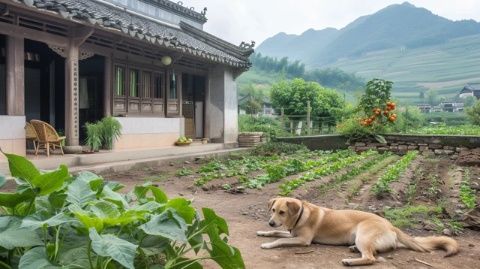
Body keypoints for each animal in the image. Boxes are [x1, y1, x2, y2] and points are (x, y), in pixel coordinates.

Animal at [256, 196, 460, 264]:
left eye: (282, 212)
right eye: (272, 210)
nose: (270, 222)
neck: (300, 215)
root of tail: (390, 224)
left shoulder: (303, 240)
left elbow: (280, 239)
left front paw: (267, 244)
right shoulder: (292, 233)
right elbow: (277, 234)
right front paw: (263, 233)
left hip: (363, 235)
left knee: (371, 258)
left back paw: (350, 261)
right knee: (380, 250)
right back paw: (354, 250)